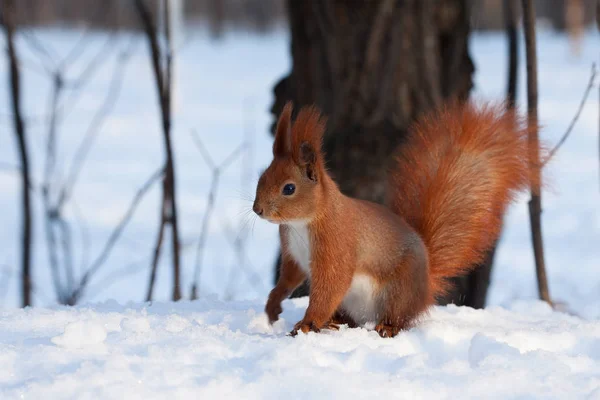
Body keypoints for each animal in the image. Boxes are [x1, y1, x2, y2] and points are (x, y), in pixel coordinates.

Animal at [255, 101, 536, 338]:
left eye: (289, 188)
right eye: (262, 177)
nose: (258, 210)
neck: (302, 223)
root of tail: (426, 284)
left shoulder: (336, 244)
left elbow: (330, 286)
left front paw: (307, 323)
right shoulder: (293, 252)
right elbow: (289, 277)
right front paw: (273, 304)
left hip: (398, 291)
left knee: (398, 318)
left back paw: (385, 327)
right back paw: (334, 322)